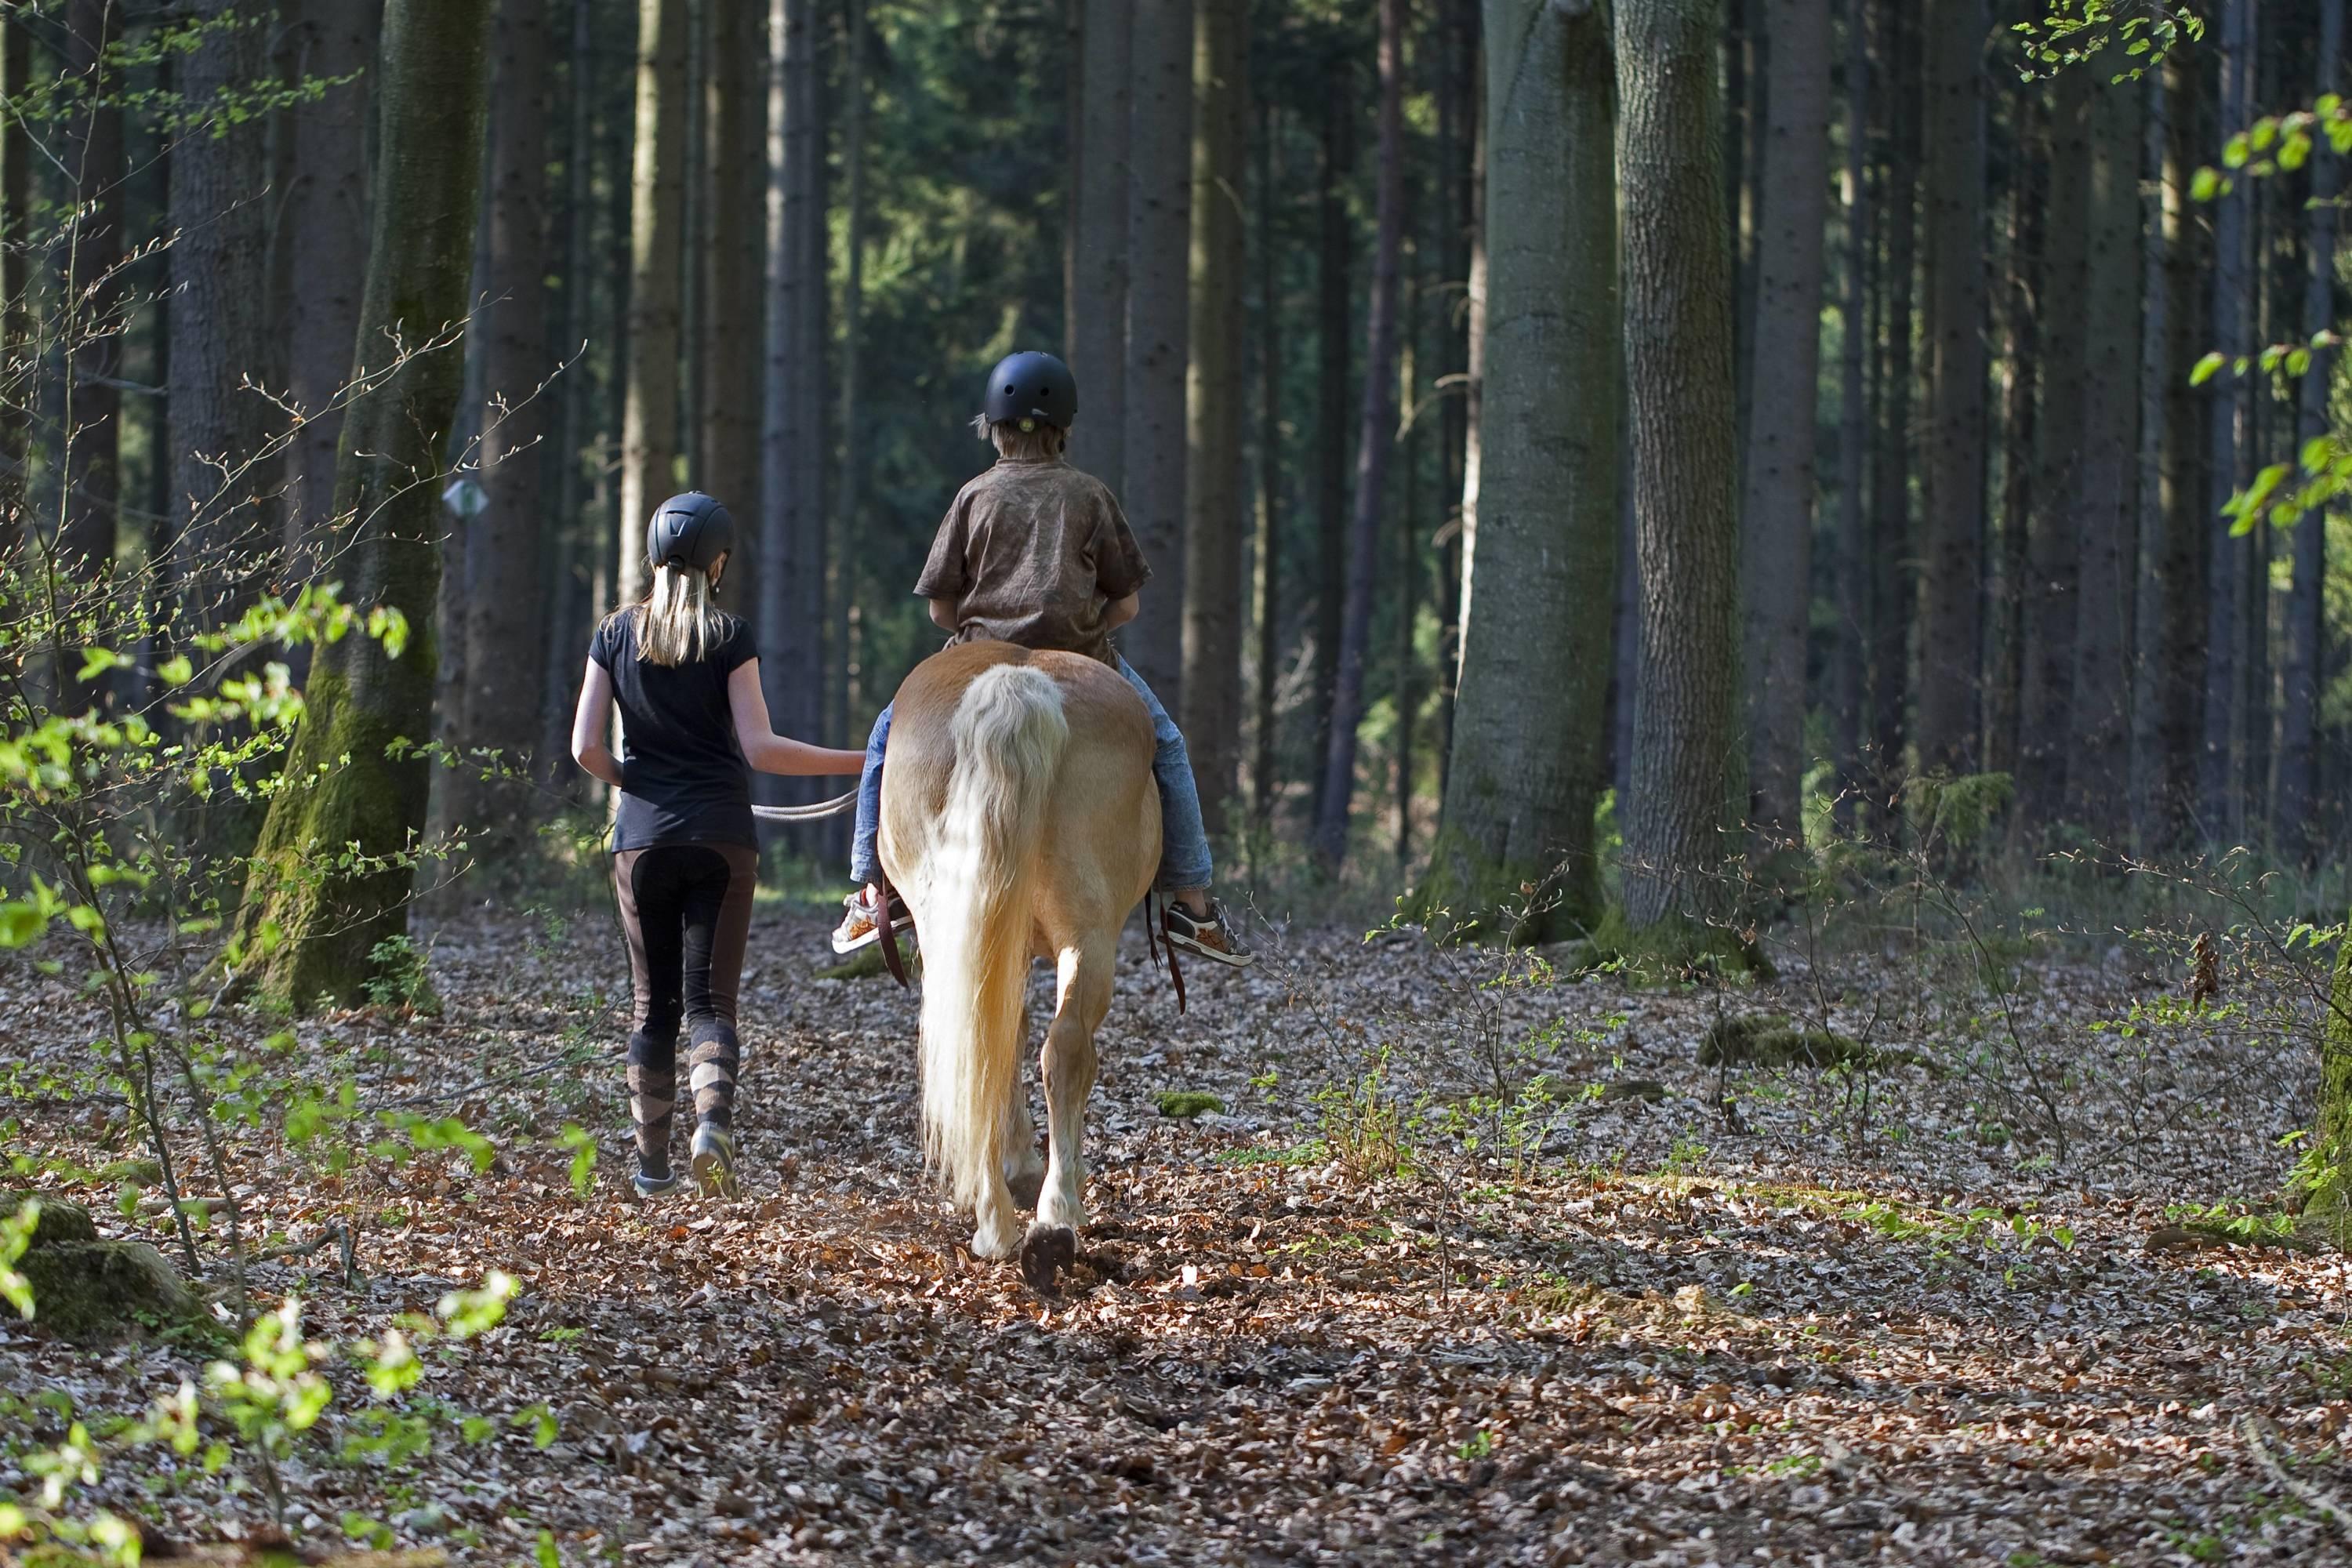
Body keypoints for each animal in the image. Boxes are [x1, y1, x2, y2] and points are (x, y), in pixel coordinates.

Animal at [880, 639, 1162, 1288]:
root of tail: (1016, 683)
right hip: (1089, 935)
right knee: (1066, 1050)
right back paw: (1055, 1217)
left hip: (957, 928)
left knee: (982, 1048)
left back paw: (1002, 1223)